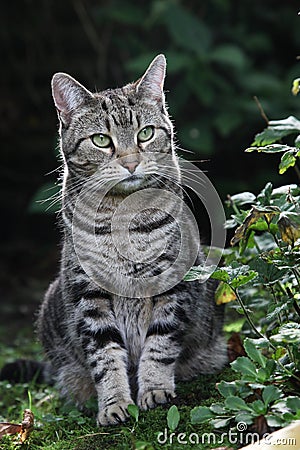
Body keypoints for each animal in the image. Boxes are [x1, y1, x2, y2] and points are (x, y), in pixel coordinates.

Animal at [35, 54, 227, 428]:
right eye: (101, 140)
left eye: (146, 134)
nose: (131, 162)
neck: (122, 216)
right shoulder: (88, 294)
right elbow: (104, 355)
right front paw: (113, 404)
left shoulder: (174, 283)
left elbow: (161, 342)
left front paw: (154, 390)